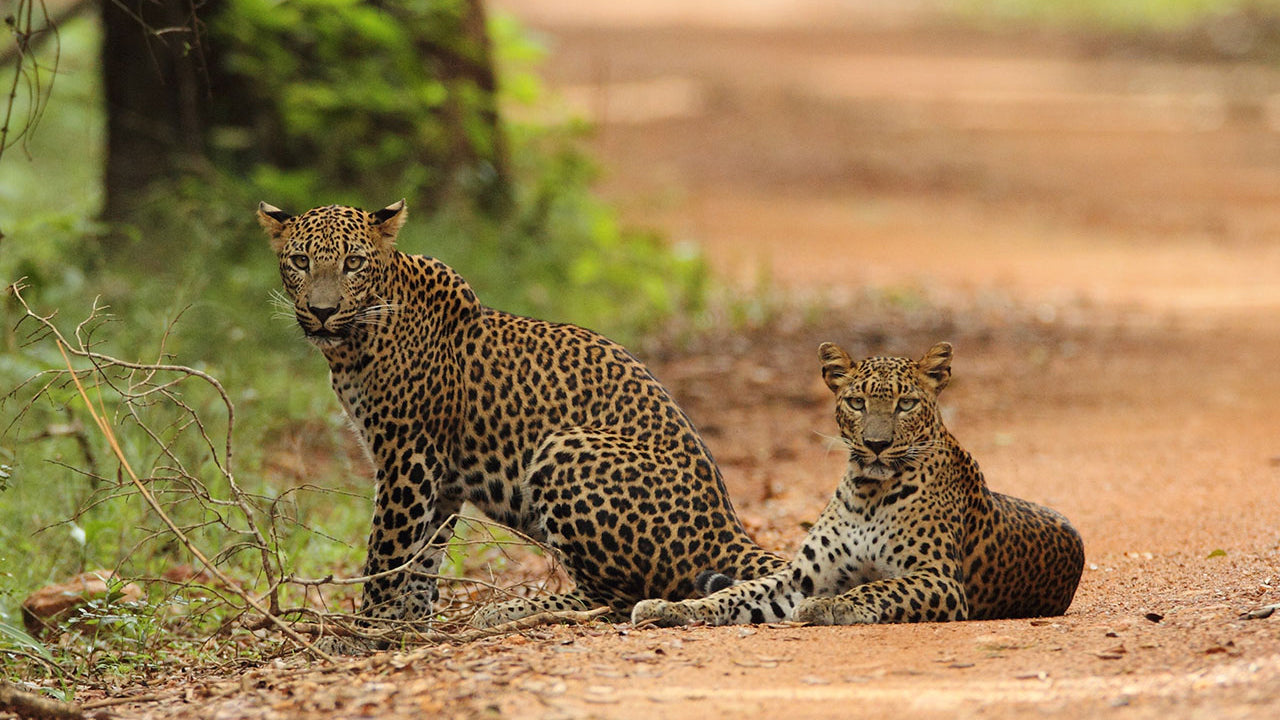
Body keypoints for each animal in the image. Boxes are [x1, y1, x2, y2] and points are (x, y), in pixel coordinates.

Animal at [256, 198, 783, 630]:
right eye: (300, 262)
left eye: (353, 263)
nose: (322, 311)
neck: (353, 344)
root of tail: (727, 527)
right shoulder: (440, 479)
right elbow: (422, 558)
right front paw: (408, 625)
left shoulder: (408, 459)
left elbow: (387, 553)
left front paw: (360, 633)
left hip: (565, 447)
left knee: (616, 600)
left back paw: (508, 610)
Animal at [629, 338, 1080, 625]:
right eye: (856, 402)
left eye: (906, 403)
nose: (877, 444)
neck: (869, 492)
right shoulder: (801, 578)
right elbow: (735, 593)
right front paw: (670, 608)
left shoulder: (939, 579)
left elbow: (878, 589)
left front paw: (828, 608)